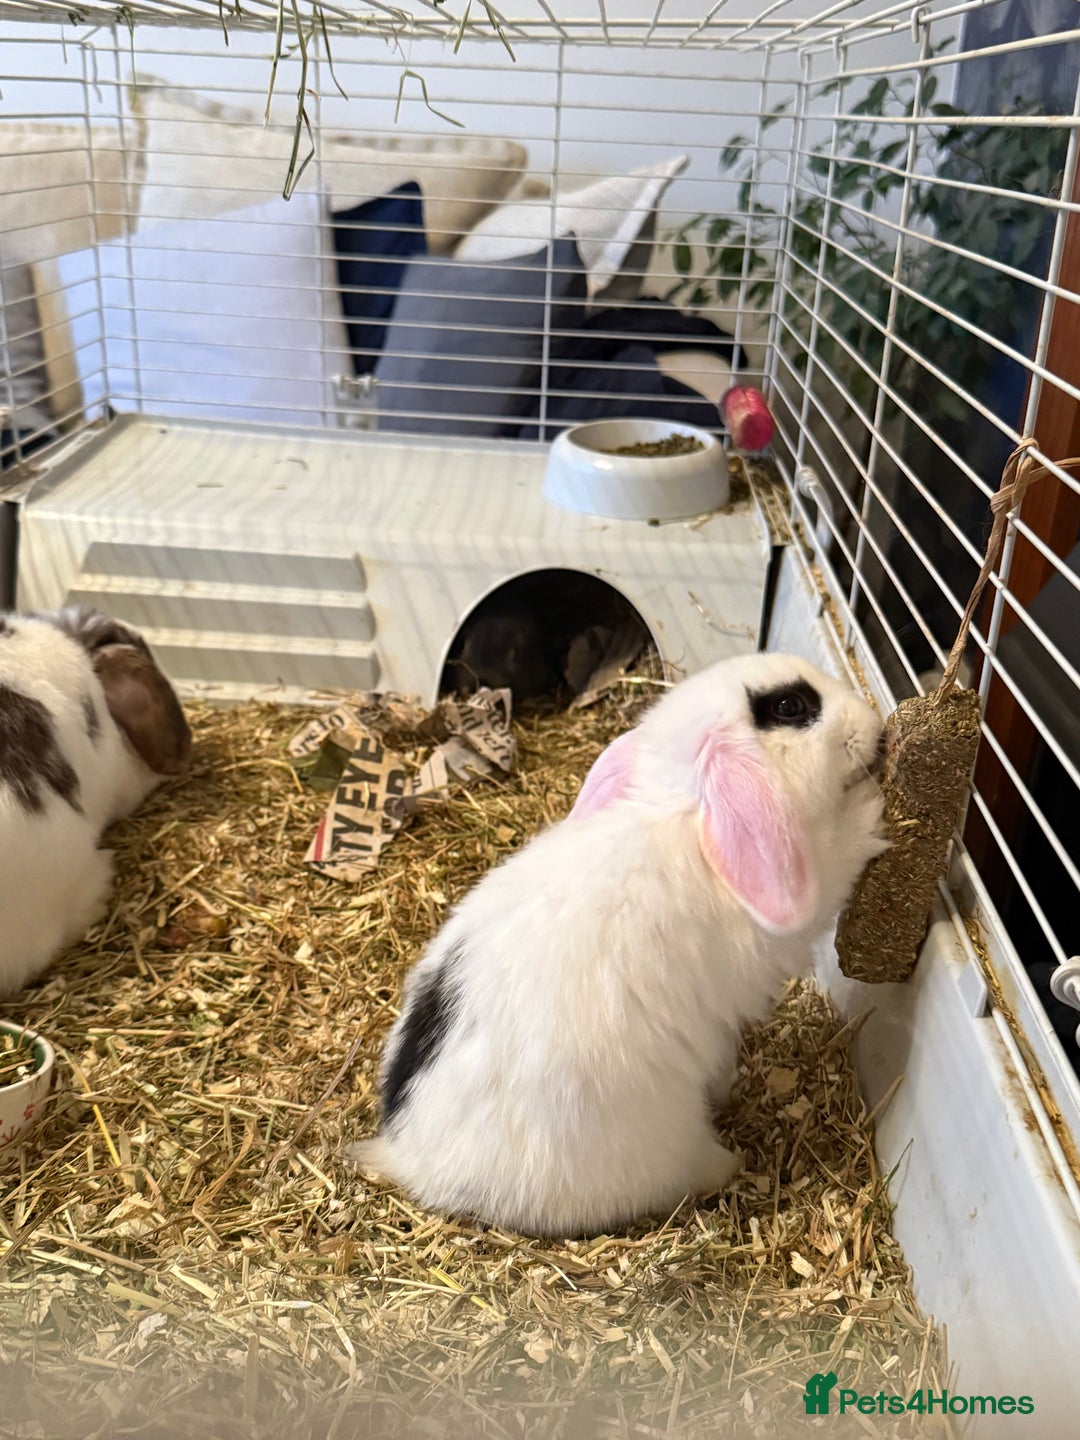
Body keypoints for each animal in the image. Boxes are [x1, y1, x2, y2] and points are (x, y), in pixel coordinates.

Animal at [348, 651, 889, 1237]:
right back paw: (730, 1162)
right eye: (790, 707)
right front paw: (873, 808)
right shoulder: (808, 893)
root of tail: (415, 1161)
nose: (875, 723)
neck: (683, 816)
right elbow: (840, 859)